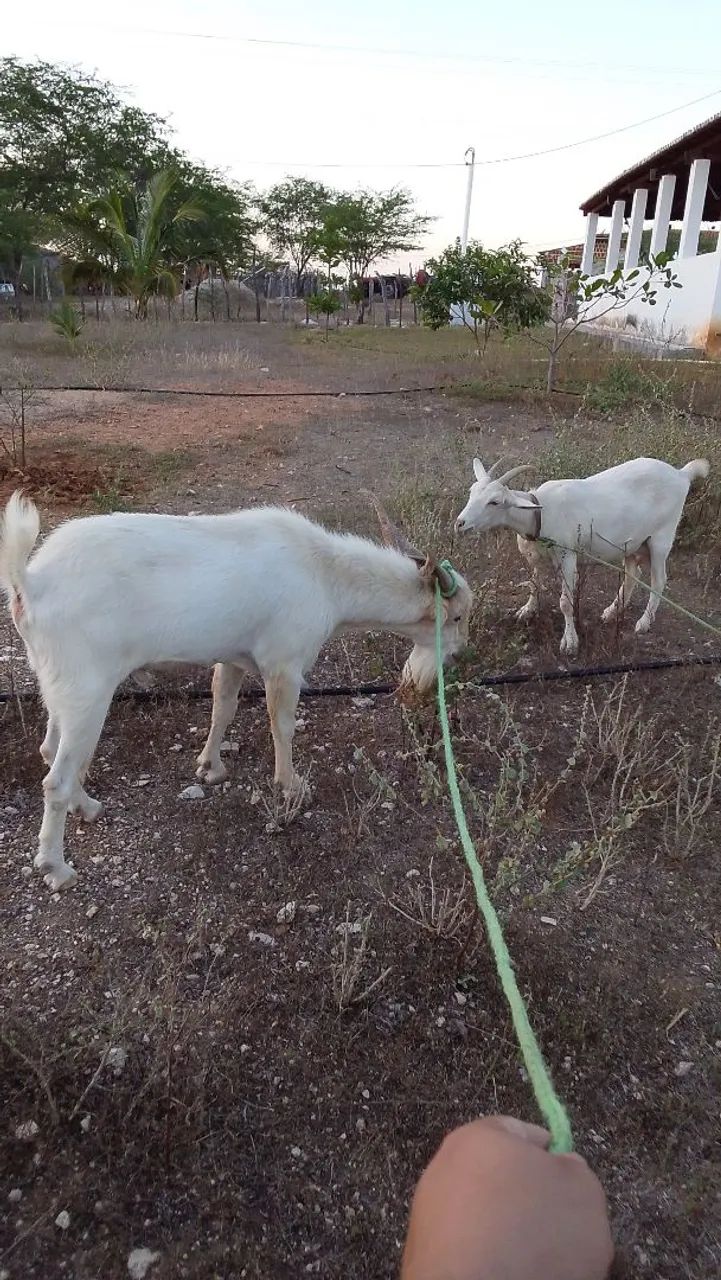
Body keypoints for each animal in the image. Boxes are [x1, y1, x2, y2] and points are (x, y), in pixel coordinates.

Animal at [0, 493, 471, 891]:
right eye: (458, 616)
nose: (457, 657)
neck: (325, 575)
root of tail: (30, 585)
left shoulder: (233, 658)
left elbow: (222, 708)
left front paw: (210, 767)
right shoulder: (283, 663)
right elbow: (282, 725)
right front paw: (291, 785)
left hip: (59, 688)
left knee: (50, 749)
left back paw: (88, 807)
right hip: (88, 691)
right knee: (56, 779)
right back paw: (57, 867)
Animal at [455, 455, 709, 655]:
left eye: (494, 501)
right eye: (471, 492)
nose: (460, 524)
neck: (539, 512)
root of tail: (682, 474)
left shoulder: (567, 555)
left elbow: (566, 603)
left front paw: (570, 642)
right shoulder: (536, 556)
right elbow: (534, 584)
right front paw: (527, 610)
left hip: (661, 539)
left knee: (658, 581)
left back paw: (644, 622)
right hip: (632, 543)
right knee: (632, 573)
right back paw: (612, 611)